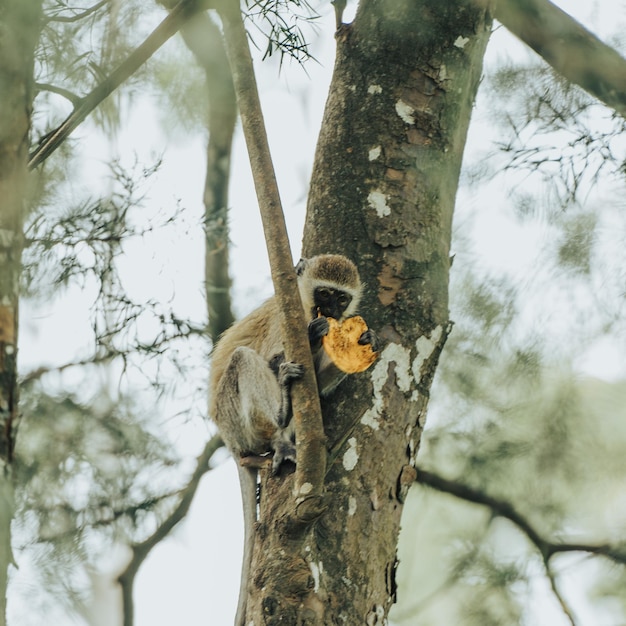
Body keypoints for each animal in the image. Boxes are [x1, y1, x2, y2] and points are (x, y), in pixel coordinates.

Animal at [208, 254, 376, 624]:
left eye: (341, 298)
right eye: (324, 293)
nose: (332, 312)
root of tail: (229, 443)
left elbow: (319, 380)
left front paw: (362, 340)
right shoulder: (284, 320)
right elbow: (271, 356)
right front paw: (313, 336)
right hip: (233, 418)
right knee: (244, 360)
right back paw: (282, 423)